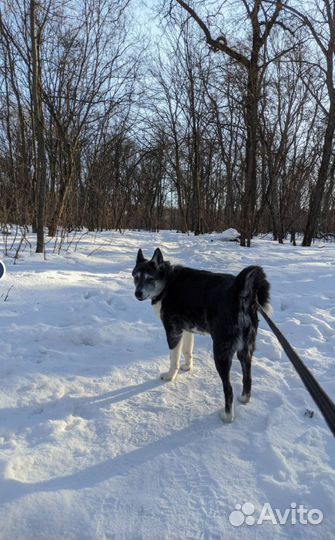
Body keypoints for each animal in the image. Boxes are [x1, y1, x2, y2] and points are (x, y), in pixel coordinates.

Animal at [133, 248, 272, 422]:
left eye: (149, 278)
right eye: (135, 277)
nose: (137, 294)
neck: (168, 282)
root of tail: (239, 293)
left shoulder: (173, 332)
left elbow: (174, 359)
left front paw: (171, 376)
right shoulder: (186, 330)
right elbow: (187, 351)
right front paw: (187, 367)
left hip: (221, 353)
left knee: (228, 389)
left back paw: (227, 416)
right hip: (245, 351)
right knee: (247, 378)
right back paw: (244, 399)